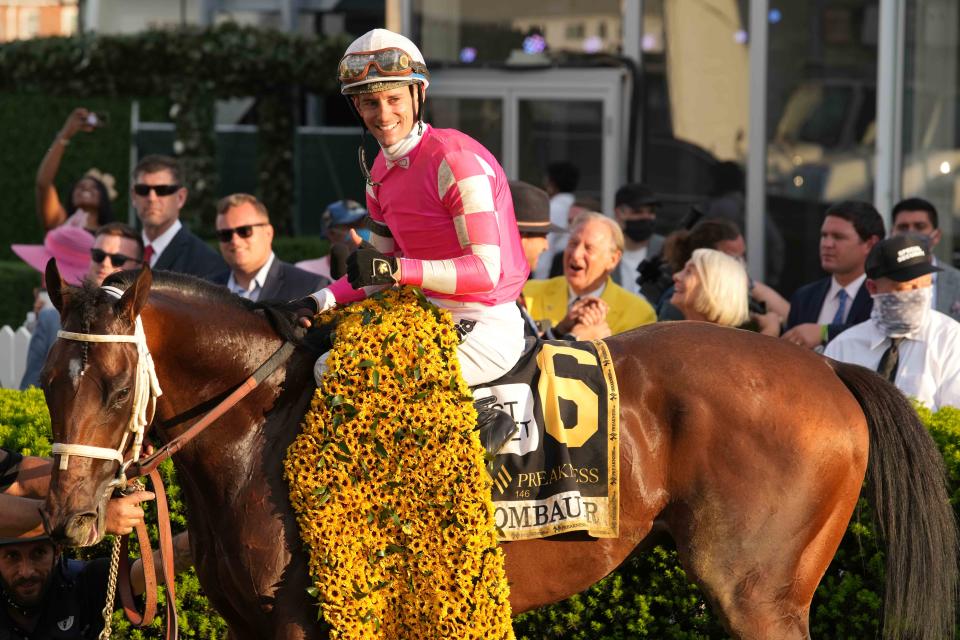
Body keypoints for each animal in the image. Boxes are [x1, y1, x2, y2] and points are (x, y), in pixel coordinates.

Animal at [41, 262, 956, 640]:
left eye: (117, 387)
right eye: (50, 381)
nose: (72, 516)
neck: (263, 427)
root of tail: (829, 367)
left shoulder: (309, 621)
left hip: (759, 595)